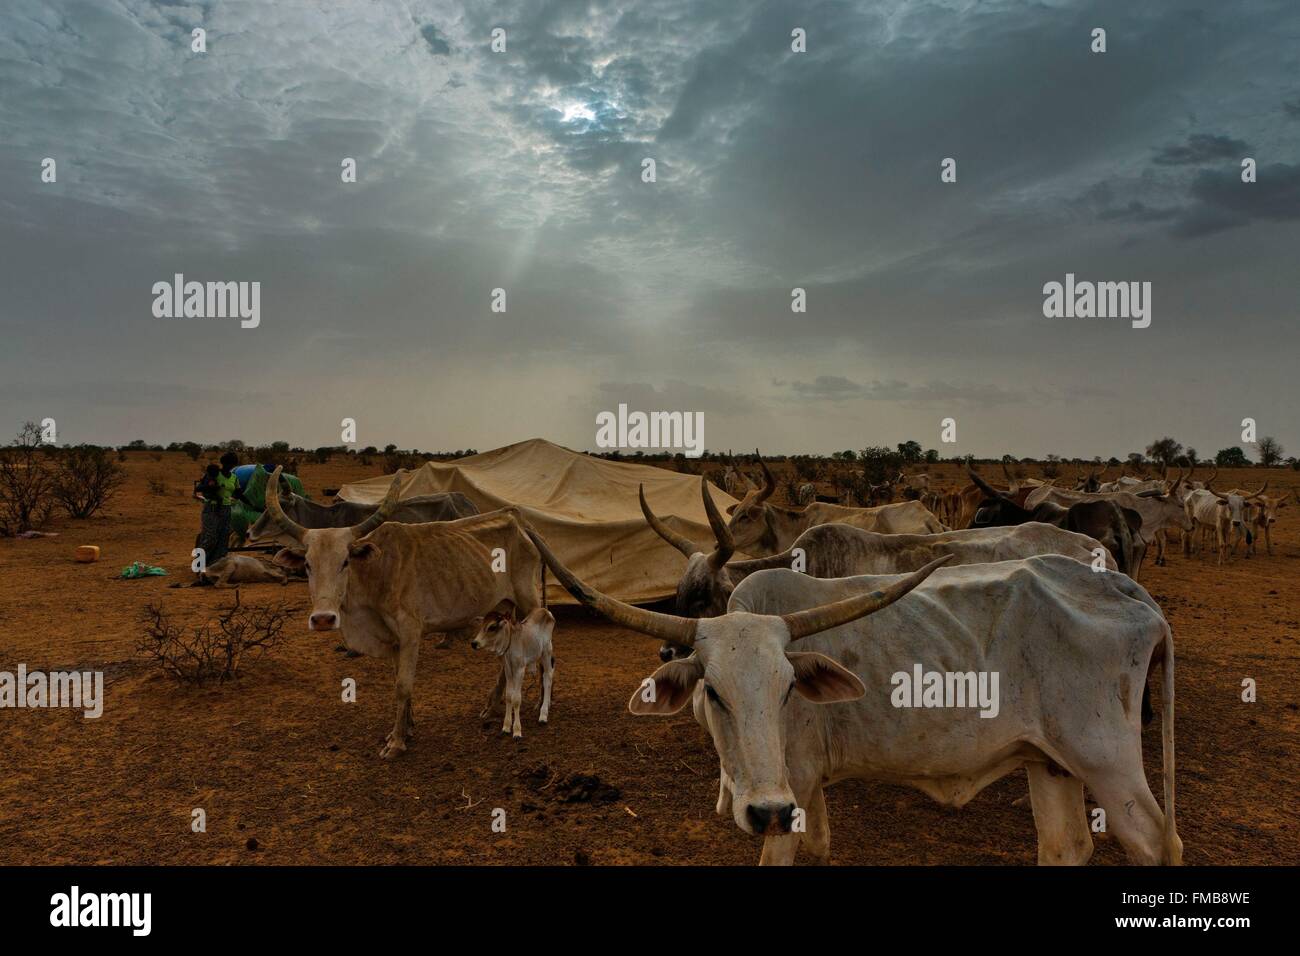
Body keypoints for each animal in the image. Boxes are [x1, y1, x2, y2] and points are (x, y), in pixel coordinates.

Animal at [473, 606, 553, 738]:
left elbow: (516, 699)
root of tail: (545, 610)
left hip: (546, 651)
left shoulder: (519, 670)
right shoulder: (508, 670)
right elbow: (509, 696)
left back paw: (543, 715)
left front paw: (517, 731)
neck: (510, 646)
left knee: (547, 678)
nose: (474, 643)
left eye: (492, 627)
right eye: (481, 625)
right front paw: (506, 727)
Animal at [527, 530, 1180, 868]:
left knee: (1157, 843)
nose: (763, 808)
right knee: (1066, 846)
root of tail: (1121, 584)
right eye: (713, 690)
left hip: (1109, 763)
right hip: (1050, 762)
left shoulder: (790, 795)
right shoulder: (804, 793)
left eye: (788, 688)